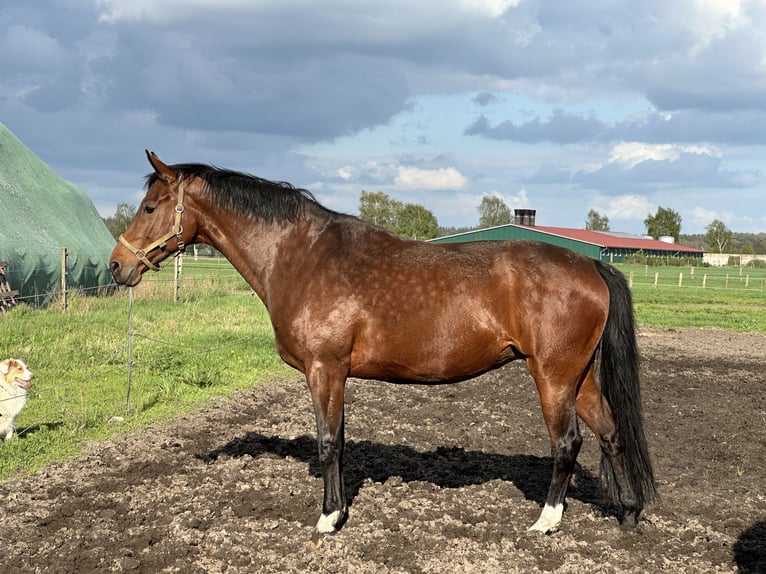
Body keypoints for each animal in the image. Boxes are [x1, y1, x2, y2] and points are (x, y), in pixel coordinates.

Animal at [111, 152, 656, 544]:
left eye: (150, 207)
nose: (118, 266)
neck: (302, 257)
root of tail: (591, 265)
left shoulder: (324, 369)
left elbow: (327, 441)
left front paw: (328, 519)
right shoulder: (336, 374)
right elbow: (339, 439)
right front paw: (339, 510)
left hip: (553, 376)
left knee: (568, 444)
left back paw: (546, 521)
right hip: (578, 378)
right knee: (611, 432)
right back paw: (628, 514)